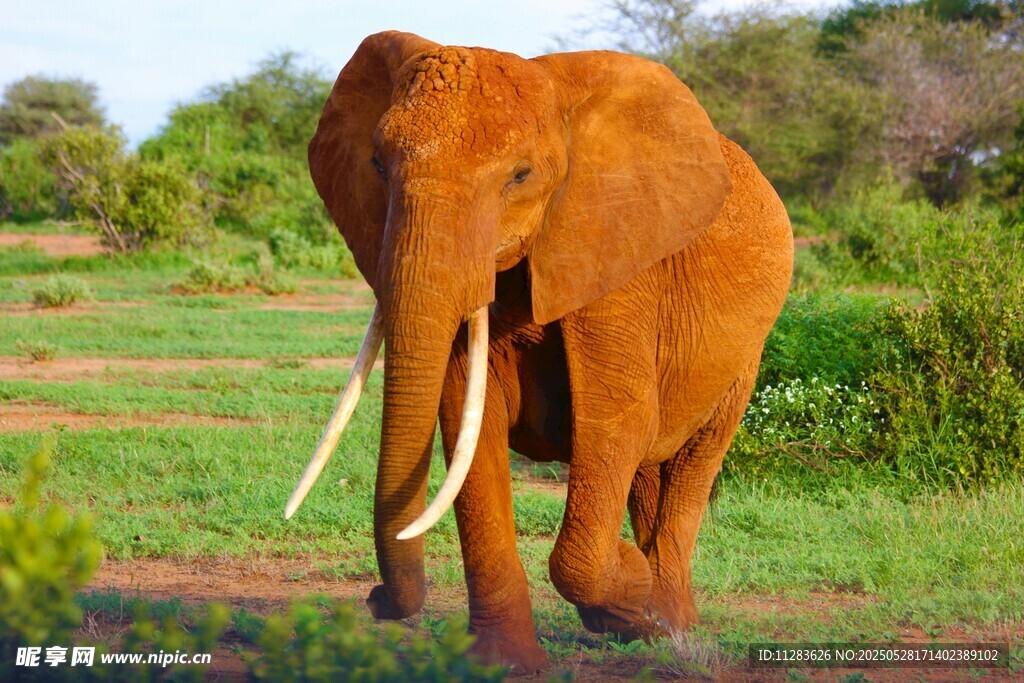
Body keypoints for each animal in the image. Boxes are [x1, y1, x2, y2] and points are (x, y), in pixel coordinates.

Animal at [285, 31, 793, 672]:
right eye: (377, 165)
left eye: (520, 176)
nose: (374, 599)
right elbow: (468, 423)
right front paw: (504, 664)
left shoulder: (615, 256)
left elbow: (618, 419)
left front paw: (628, 585)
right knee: (649, 470)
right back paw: (651, 624)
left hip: (747, 353)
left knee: (693, 459)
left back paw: (670, 626)